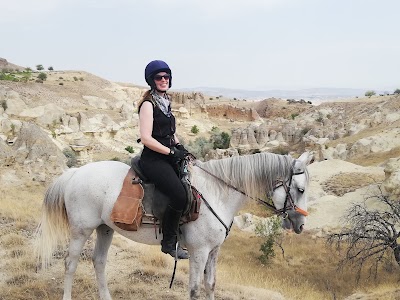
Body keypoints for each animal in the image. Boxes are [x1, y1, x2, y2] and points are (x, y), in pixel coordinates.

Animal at [35, 152, 312, 300]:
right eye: (300, 190)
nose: (300, 225)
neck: (217, 193)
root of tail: (75, 172)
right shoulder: (199, 252)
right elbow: (194, 289)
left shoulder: (214, 251)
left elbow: (211, 284)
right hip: (80, 230)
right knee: (70, 264)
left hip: (106, 228)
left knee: (99, 262)